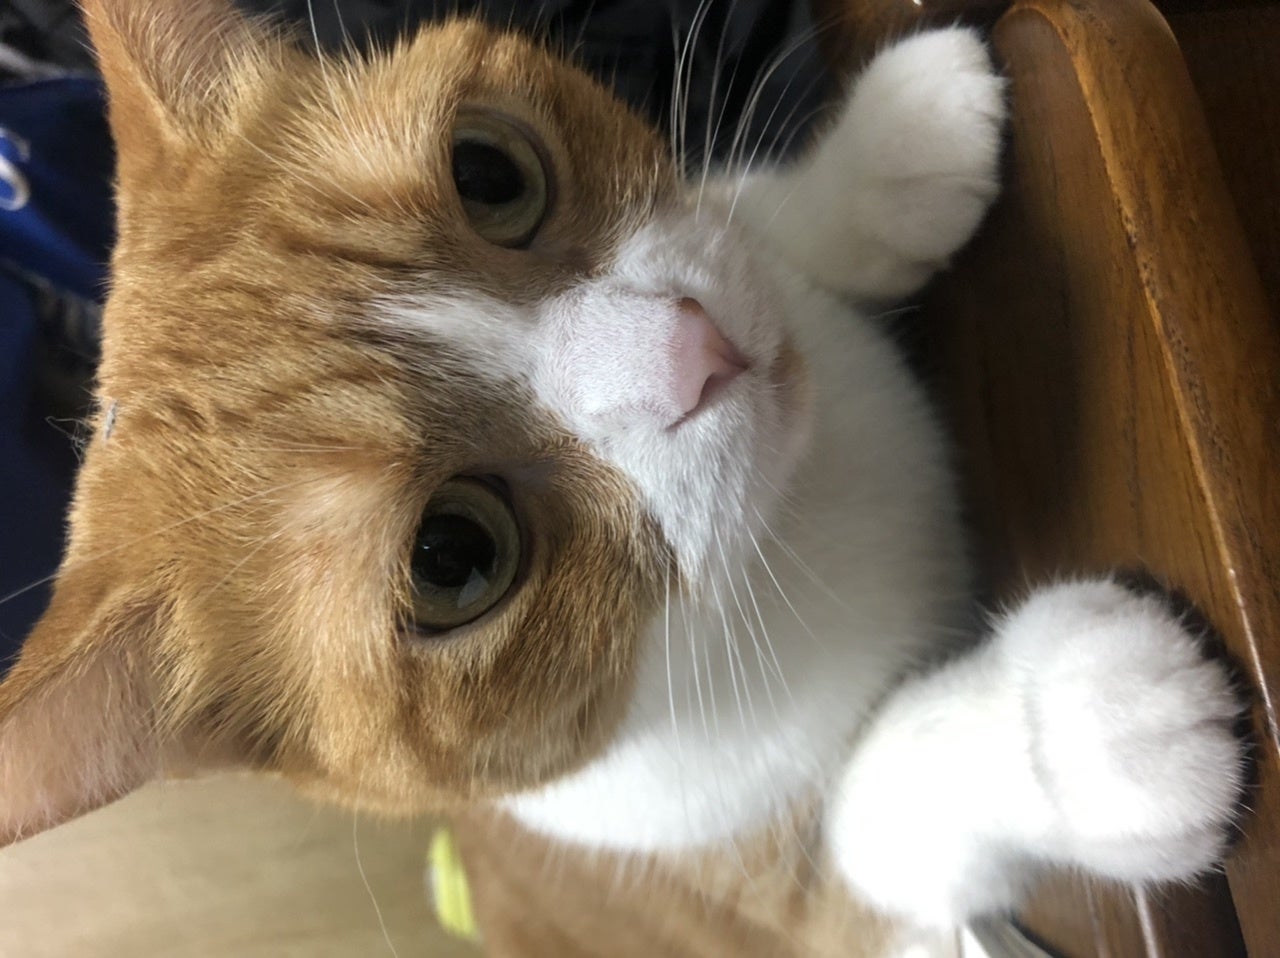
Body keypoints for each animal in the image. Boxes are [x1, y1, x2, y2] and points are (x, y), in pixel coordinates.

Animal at [0, 0, 1246, 954]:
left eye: (488, 172)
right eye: (453, 556)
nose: (693, 347)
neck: (798, 510)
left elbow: (743, 211)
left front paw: (887, 152)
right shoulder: (790, 904)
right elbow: (873, 812)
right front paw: (1084, 722)